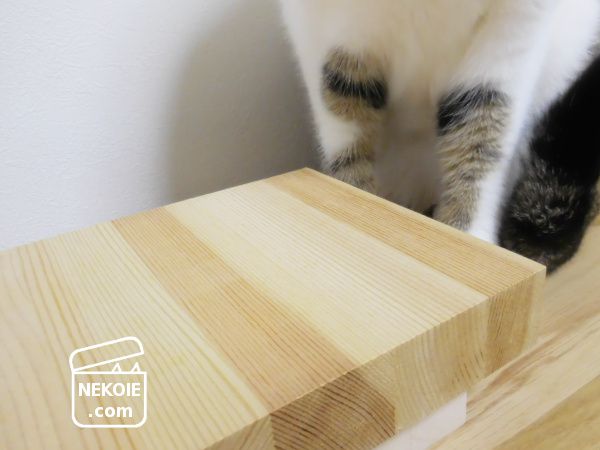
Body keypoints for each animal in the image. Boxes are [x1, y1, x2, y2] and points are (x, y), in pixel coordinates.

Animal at [279, 0, 600, 272]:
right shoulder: (329, 33)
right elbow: (344, 130)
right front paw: (356, 206)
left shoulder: (509, 35)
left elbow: (481, 139)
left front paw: (471, 241)